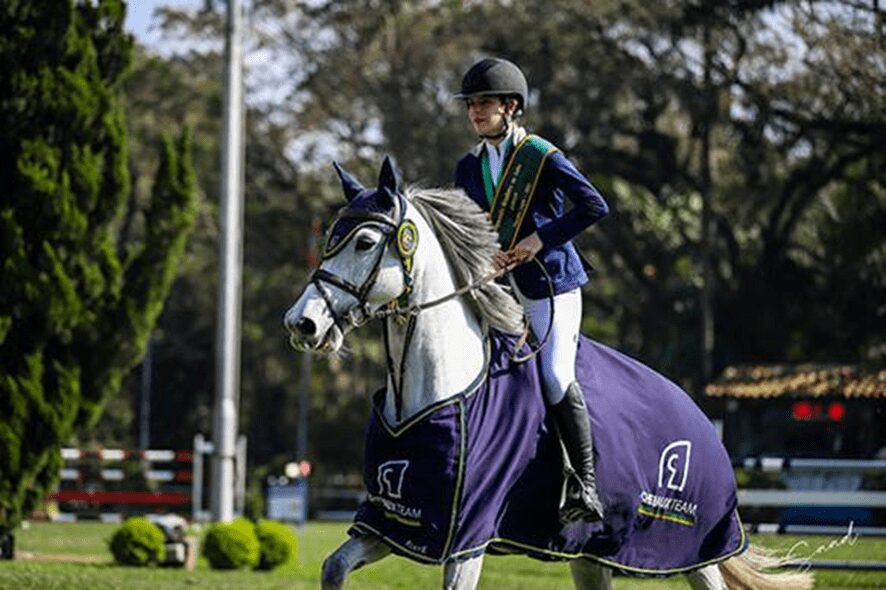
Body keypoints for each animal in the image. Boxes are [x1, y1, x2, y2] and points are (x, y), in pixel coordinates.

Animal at [282, 158, 812, 590]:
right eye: (329, 239)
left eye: (365, 242)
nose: (302, 324)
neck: (436, 385)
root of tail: (700, 416)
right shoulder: (394, 523)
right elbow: (333, 568)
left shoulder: (466, 537)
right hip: (592, 554)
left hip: (693, 551)